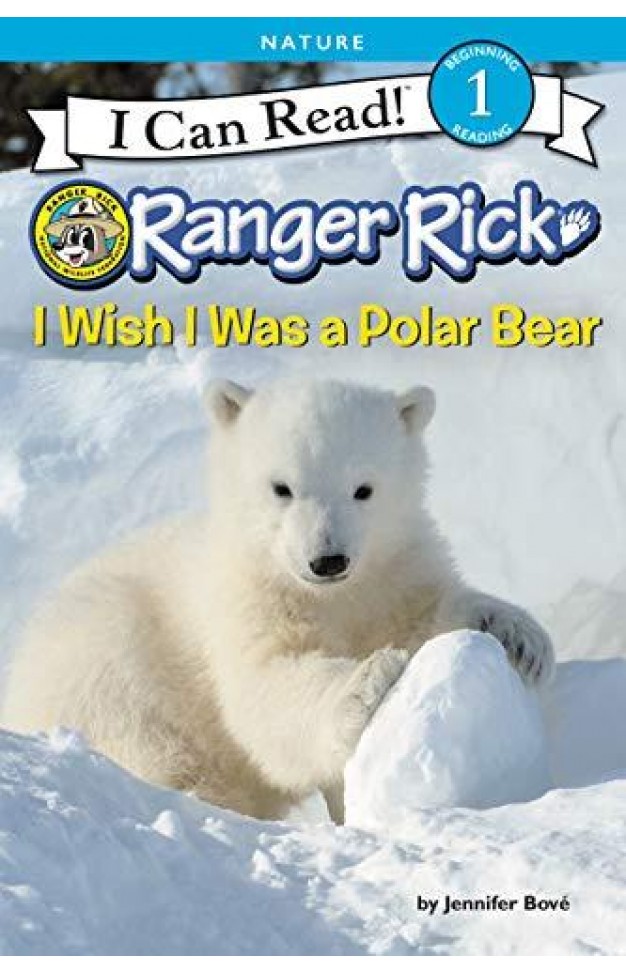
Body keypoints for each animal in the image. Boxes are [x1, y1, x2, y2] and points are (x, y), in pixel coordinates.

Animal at [1, 378, 554, 822]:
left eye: (364, 488)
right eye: (282, 487)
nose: (328, 560)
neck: (328, 597)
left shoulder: (390, 573)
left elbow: (425, 610)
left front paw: (518, 637)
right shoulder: (245, 599)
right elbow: (266, 688)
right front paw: (369, 679)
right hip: (99, 655)